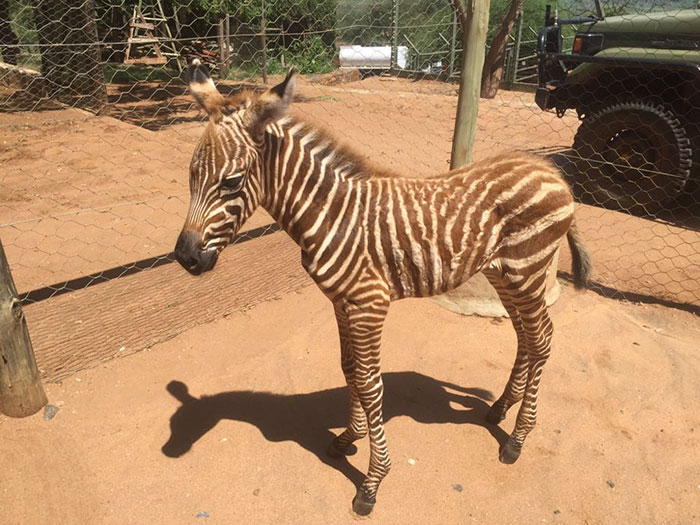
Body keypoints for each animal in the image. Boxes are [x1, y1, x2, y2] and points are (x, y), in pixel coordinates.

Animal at [174, 60, 591, 515]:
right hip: (506, 274)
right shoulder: (341, 302)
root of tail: (550, 171)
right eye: (191, 174)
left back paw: (516, 439)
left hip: (527, 270)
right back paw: (499, 410)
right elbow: (350, 370)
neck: (331, 214)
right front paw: (347, 439)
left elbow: (371, 384)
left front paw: (373, 482)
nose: (185, 257)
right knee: (526, 338)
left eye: (231, 182)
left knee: (542, 339)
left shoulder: (369, 304)